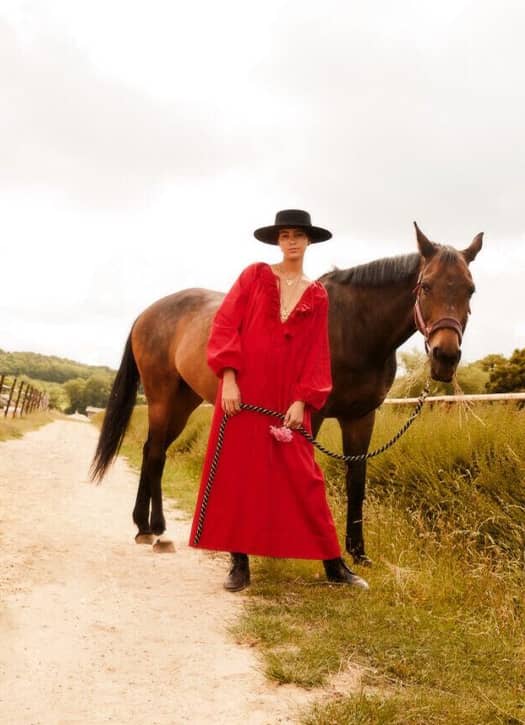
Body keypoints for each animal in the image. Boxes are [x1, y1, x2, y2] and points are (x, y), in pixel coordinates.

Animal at [90, 223, 478, 564]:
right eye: (425, 286)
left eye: (470, 289)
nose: (445, 356)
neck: (352, 326)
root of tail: (147, 313)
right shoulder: (311, 414)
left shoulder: (360, 418)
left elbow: (357, 482)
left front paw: (358, 554)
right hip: (162, 397)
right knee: (154, 453)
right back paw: (151, 529)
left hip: (184, 402)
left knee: (155, 452)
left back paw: (152, 527)